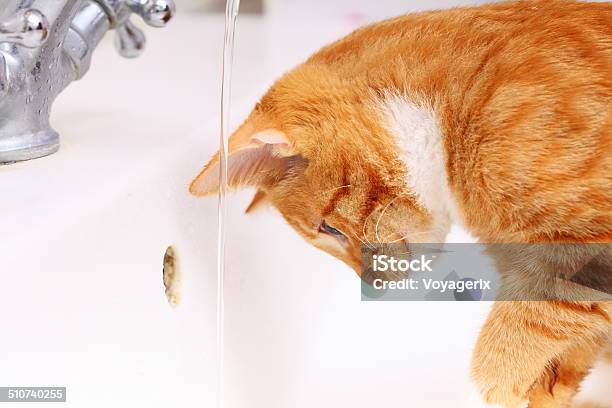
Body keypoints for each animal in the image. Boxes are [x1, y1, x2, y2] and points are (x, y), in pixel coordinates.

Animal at [190, 1, 608, 406]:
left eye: (329, 228)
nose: (371, 287)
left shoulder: (579, 248)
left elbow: (513, 340)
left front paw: (496, 386)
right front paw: (553, 383)